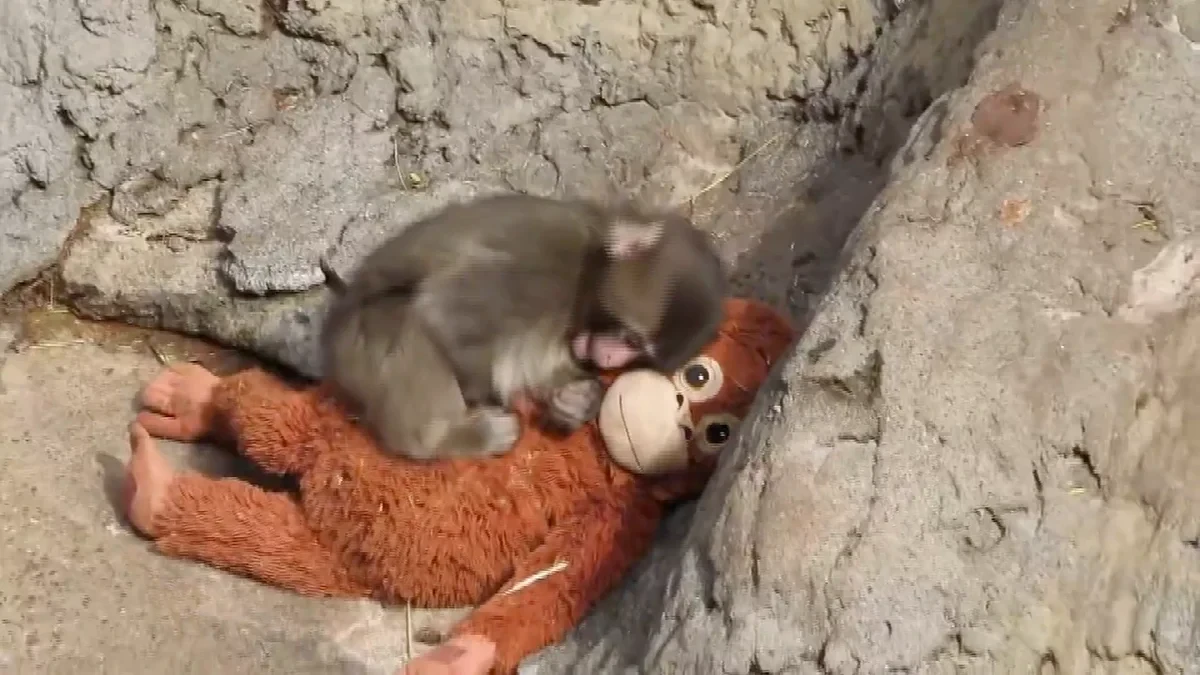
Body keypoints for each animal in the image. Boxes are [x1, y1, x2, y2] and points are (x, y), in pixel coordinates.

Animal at [320, 193, 727, 461]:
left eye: (638, 351)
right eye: (629, 338)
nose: (611, 359)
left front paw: (576, 400)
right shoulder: (547, 267)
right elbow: (444, 314)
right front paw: (487, 396)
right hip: (366, 340)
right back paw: (455, 437)